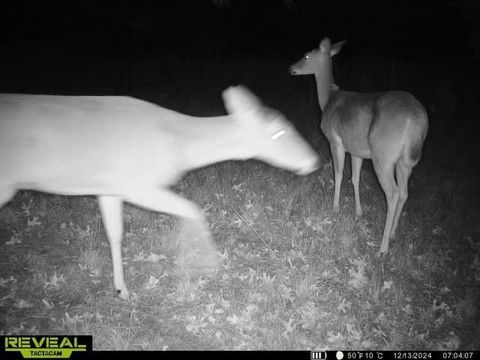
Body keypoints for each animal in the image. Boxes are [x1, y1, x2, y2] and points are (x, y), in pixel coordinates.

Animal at [0, 86, 318, 298]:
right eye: (278, 132)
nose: (315, 160)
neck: (181, 144)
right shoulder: (138, 184)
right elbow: (194, 211)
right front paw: (206, 266)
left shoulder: (109, 187)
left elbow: (115, 234)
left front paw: (122, 289)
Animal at [290, 38, 430, 253]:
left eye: (305, 55)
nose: (291, 68)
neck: (328, 98)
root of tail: (417, 119)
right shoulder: (356, 150)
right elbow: (355, 178)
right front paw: (358, 211)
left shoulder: (335, 140)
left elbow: (338, 173)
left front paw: (335, 208)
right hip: (405, 160)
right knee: (404, 193)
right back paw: (393, 234)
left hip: (383, 155)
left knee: (393, 193)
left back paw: (383, 248)